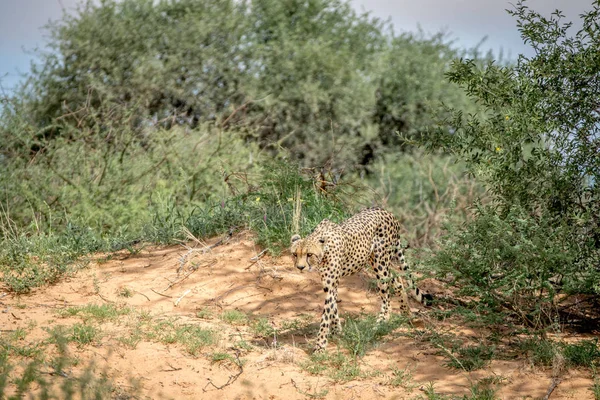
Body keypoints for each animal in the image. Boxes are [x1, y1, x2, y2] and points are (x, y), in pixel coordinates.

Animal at [292, 208, 428, 352]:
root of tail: (386, 211)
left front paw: (320, 345)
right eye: (295, 254)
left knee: (386, 297)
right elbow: (333, 307)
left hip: (380, 263)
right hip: (377, 261)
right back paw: (406, 312)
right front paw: (336, 331)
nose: (300, 267)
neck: (324, 252)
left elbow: (326, 315)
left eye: (309, 254)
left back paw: (382, 321)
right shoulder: (329, 284)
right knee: (397, 279)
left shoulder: (331, 282)